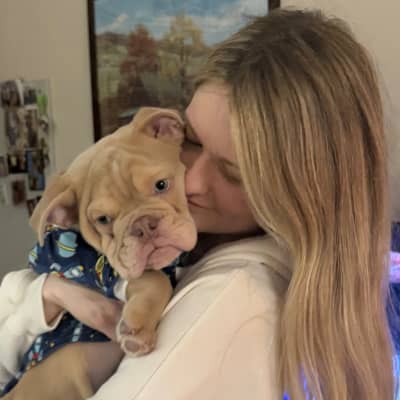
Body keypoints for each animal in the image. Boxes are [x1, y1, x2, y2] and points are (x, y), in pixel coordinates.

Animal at [2, 107, 197, 400]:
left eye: (162, 185)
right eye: (103, 220)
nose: (143, 226)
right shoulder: (105, 271)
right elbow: (154, 278)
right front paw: (136, 329)